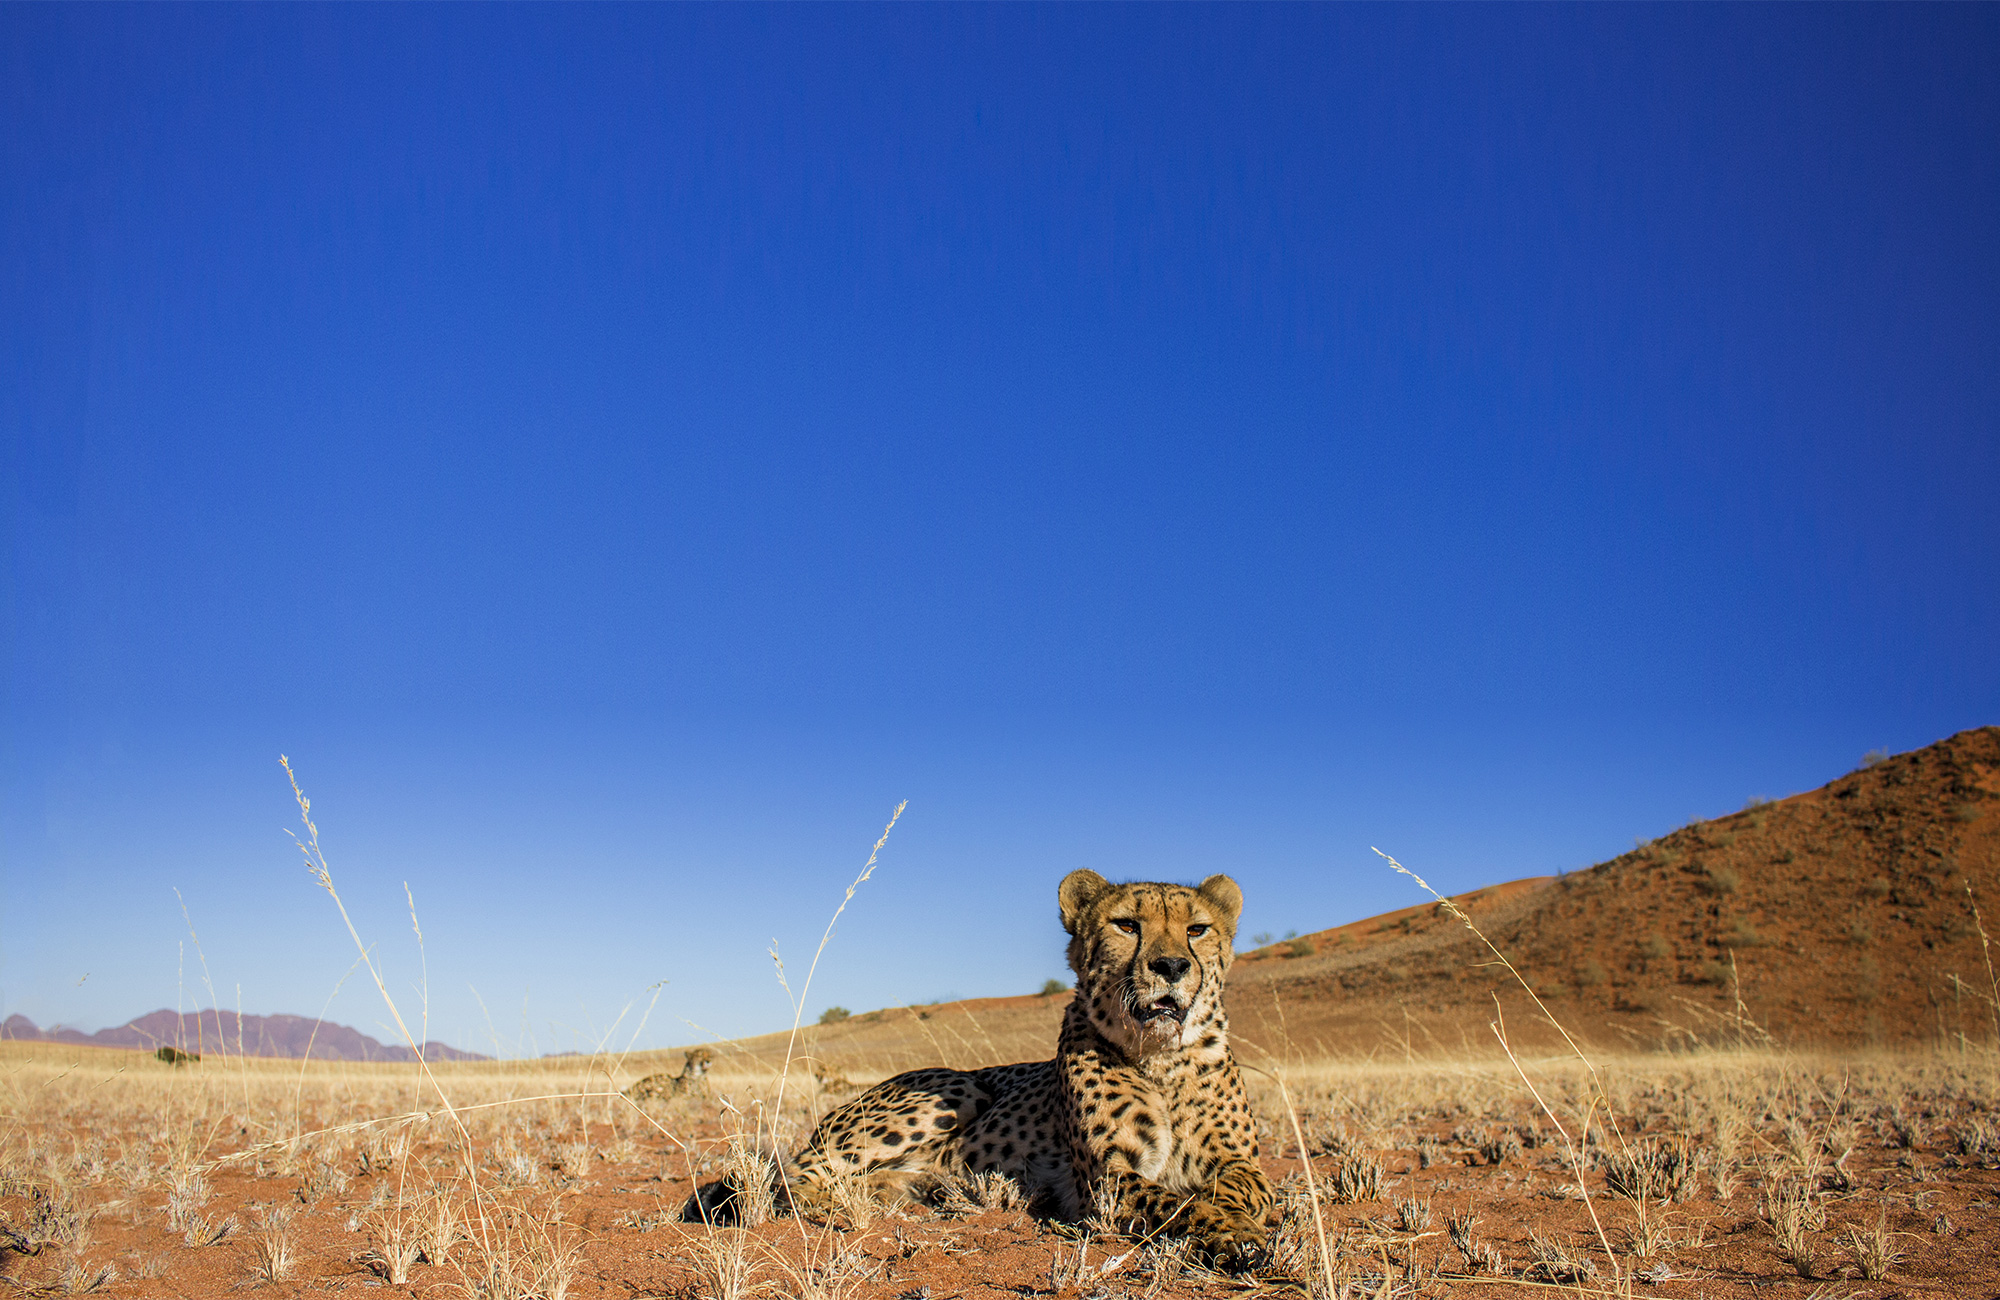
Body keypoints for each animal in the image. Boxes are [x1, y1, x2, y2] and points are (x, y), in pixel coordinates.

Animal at [685, 870, 1272, 1268]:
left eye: (1197, 930)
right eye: (1126, 925)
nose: (1170, 966)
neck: (1160, 1057)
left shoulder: (1241, 1161)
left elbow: (1241, 1189)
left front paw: (1234, 1218)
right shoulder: (1107, 1179)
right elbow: (1174, 1203)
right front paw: (1234, 1234)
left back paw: (922, 1189)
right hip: (956, 1087)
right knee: (793, 1180)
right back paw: (848, 1203)